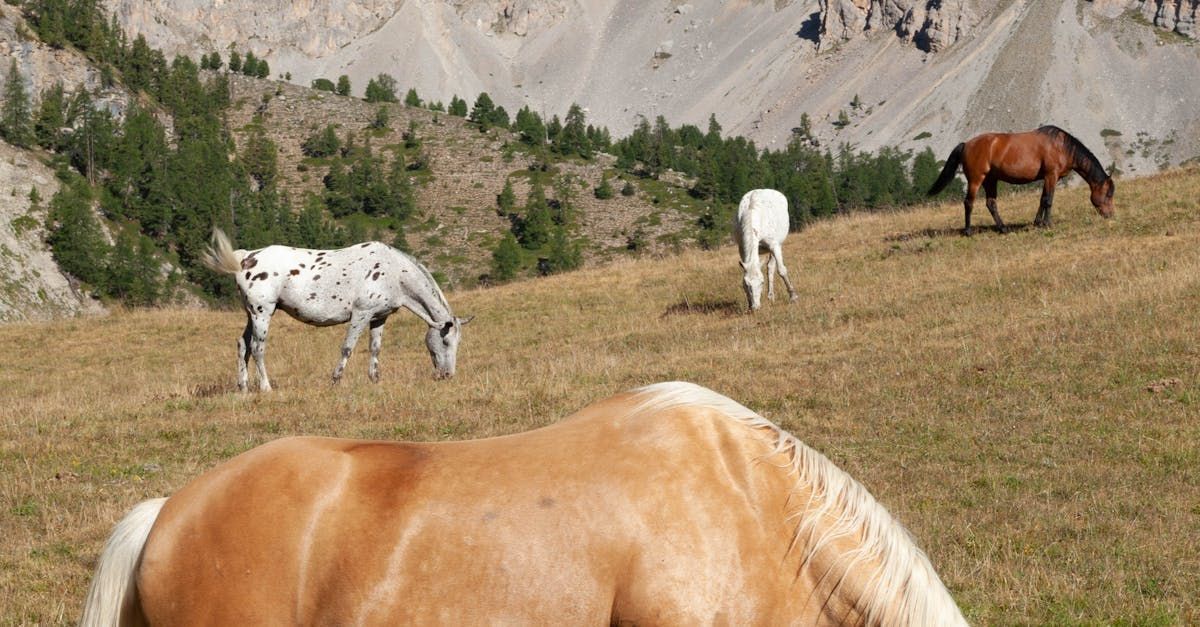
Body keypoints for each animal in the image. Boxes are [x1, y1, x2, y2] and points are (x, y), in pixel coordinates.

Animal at [201, 229, 472, 391]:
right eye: (445, 341)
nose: (448, 374)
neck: (393, 272)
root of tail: (247, 258)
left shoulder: (379, 317)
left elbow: (375, 348)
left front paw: (374, 379)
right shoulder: (361, 314)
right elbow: (348, 348)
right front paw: (336, 379)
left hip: (252, 315)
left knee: (242, 345)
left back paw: (244, 387)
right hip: (262, 313)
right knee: (258, 348)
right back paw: (266, 387)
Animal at [927, 125, 1115, 234]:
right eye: (1108, 194)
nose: (1110, 215)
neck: (1061, 146)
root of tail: (966, 144)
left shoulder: (1047, 178)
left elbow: (1042, 200)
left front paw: (1037, 223)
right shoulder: (1051, 175)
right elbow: (1048, 200)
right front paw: (1047, 224)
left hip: (990, 180)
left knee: (991, 203)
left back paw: (1003, 229)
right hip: (976, 179)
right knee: (969, 203)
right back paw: (968, 231)